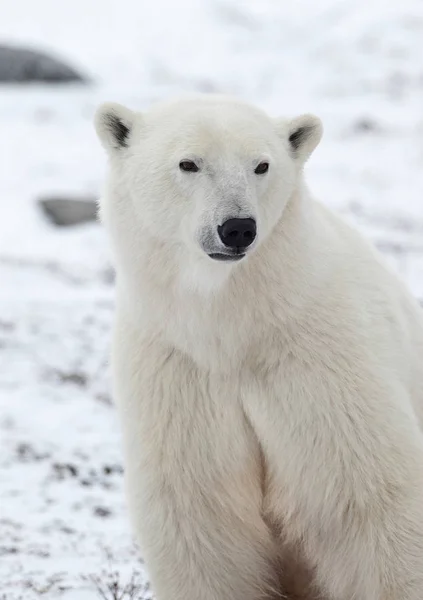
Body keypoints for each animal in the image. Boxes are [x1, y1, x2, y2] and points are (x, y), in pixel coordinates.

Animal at [94, 95, 423, 600]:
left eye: (261, 165)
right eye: (189, 163)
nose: (237, 228)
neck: (237, 329)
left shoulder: (321, 360)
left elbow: (370, 498)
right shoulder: (178, 368)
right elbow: (202, 519)